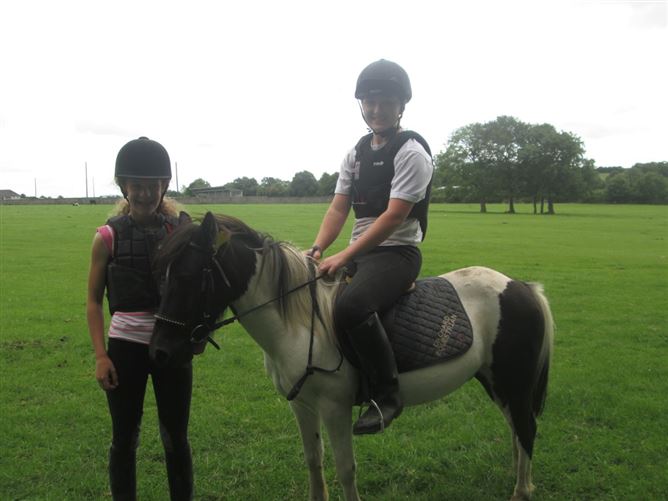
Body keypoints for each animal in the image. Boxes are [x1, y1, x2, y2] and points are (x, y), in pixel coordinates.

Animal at [149, 211, 554, 501]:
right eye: (162, 276)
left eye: (187, 276)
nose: (159, 351)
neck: (298, 322)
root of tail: (521, 287)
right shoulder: (302, 405)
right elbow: (314, 460)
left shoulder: (335, 408)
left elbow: (345, 468)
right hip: (495, 381)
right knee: (516, 428)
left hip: (514, 381)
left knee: (526, 427)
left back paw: (521, 491)